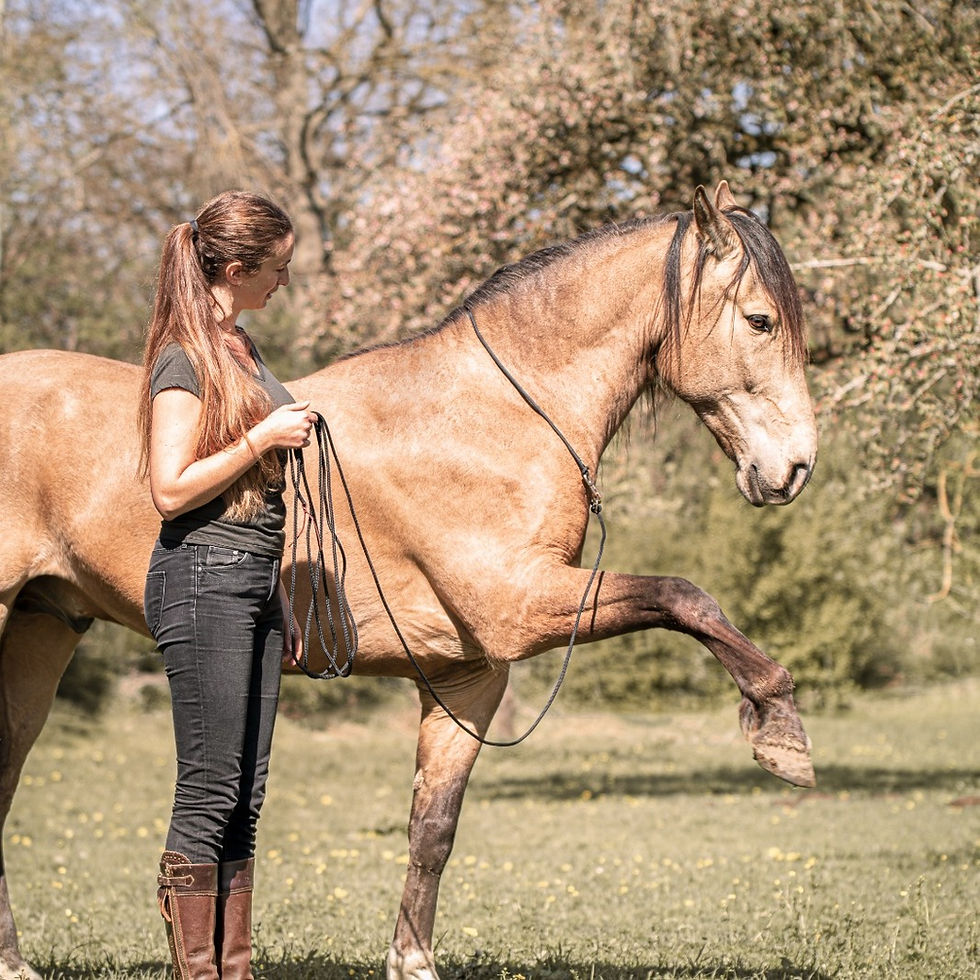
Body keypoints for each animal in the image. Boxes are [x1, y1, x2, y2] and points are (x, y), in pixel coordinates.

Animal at [0, 182, 817, 980]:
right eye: (760, 319)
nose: (796, 468)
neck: (492, 418)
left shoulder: (470, 674)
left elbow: (434, 827)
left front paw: (412, 960)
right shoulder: (521, 606)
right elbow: (684, 596)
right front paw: (780, 729)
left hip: (43, 627)